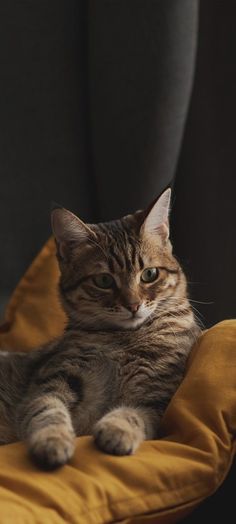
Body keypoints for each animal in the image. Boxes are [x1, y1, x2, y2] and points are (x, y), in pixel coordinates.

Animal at [0, 189, 201, 470]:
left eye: (149, 274)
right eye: (104, 280)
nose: (133, 305)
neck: (122, 341)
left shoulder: (156, 395)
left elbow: (133, 413)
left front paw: (117, 431)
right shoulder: (49, 382)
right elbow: (47, 411)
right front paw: (53, 441)